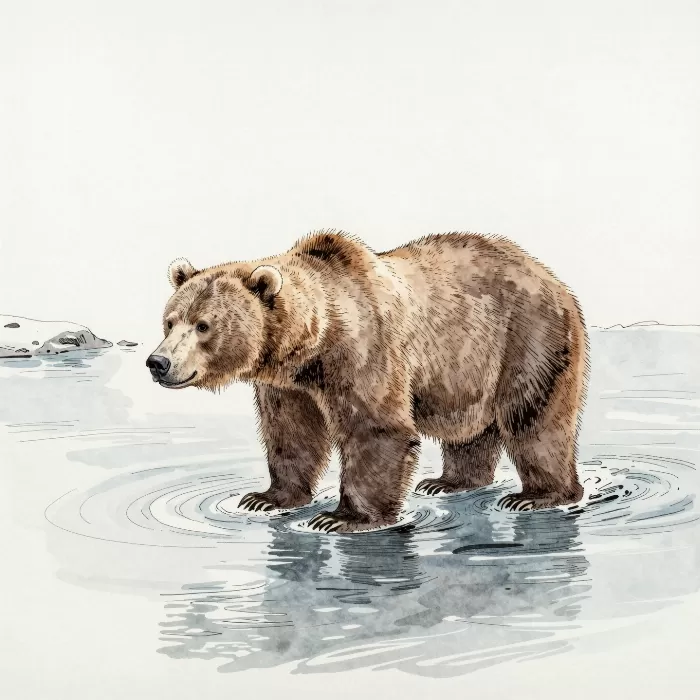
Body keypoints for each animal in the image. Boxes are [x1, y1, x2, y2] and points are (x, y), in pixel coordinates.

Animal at [147, 230, 588, 533]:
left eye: (203, 325)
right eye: (170, 321)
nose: (158, 362)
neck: (312, 345)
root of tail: (551, 277)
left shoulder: (365, 350)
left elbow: (376, 429)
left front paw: (342, 518)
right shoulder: (289, 385)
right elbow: (291, 434)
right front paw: (266, 498)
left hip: (528, 337)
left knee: (533, 418)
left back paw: (537, 496)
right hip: (469, 371)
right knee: (469, 431)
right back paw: (447, 483)